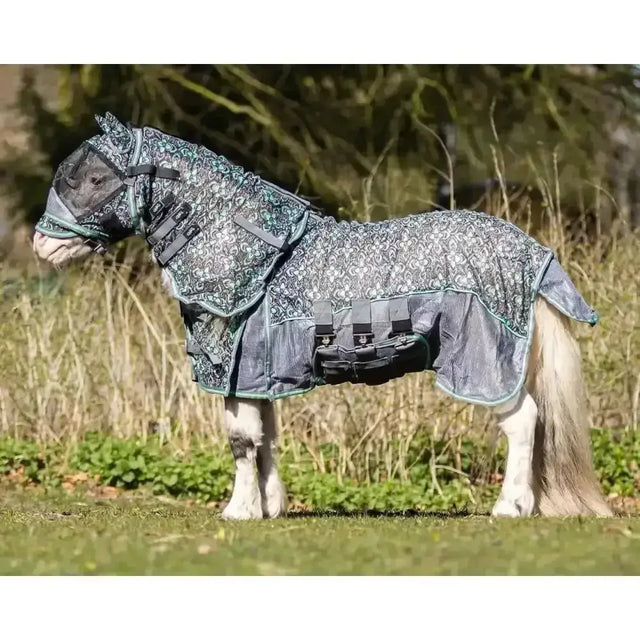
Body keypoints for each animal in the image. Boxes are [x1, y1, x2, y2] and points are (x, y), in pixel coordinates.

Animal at [32, 112, 612, 519]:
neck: (253, 256)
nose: (42, 245)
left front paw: (238, 510)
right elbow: (265, 436)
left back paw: (510, 507)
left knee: (523, 423)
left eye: (94, 178)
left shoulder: (233, 367)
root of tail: (531, 253)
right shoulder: (257, 371)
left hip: (487, 365)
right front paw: (269, 506)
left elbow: (240, 438)